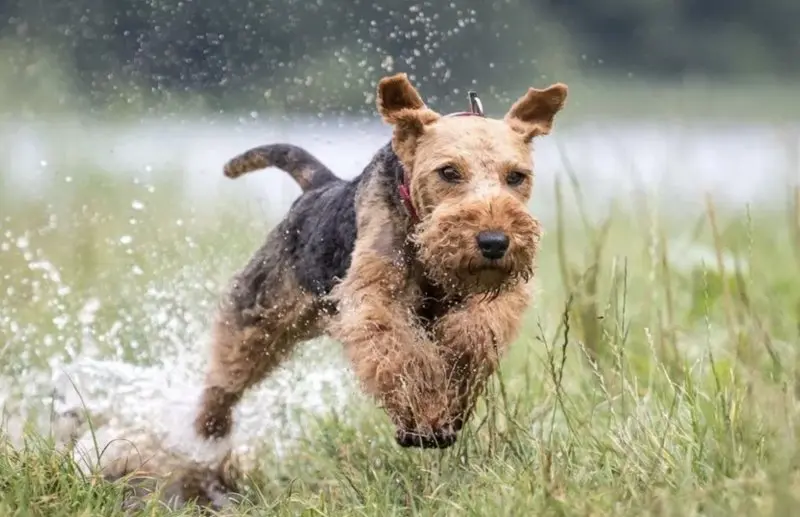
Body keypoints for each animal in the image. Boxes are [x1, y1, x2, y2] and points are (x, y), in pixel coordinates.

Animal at [194, 72, 568, 452]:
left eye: (516, 176)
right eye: (448, 172)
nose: (494, 242)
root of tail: (319, 186)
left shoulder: (493, 293)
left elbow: (473, 332)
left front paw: (452, 387)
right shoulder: (374, 296)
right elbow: (403, 354)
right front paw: (424, 417)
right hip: (261, 311)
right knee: (225, 375)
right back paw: (208, 430)